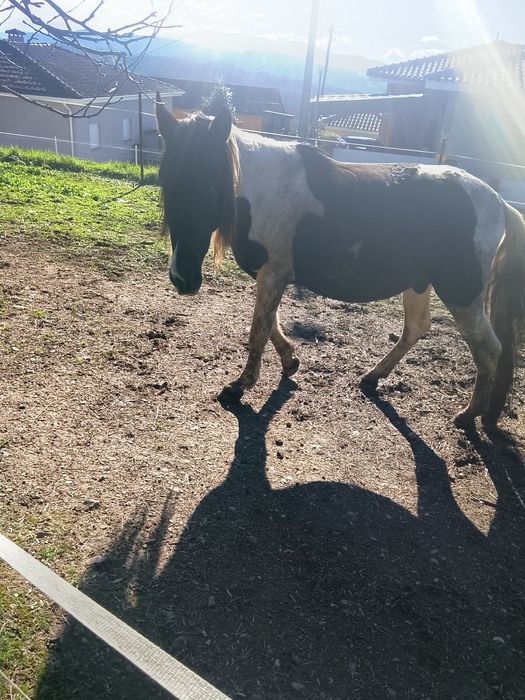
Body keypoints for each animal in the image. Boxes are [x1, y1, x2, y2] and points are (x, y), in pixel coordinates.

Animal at [155, 95, 525, 428]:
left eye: (211, 183)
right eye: (165, 181)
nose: (182, 278)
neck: (262, 190)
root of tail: (500, 202)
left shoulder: (273, 275)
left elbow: (259, 330)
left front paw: (240, 386)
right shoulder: (270, 276)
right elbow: (272, 324)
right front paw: (290, 361)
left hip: (462, 295)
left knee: (489, 348)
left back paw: (469, 414)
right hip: (420, 283)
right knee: (417, 328)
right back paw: (374, 377)